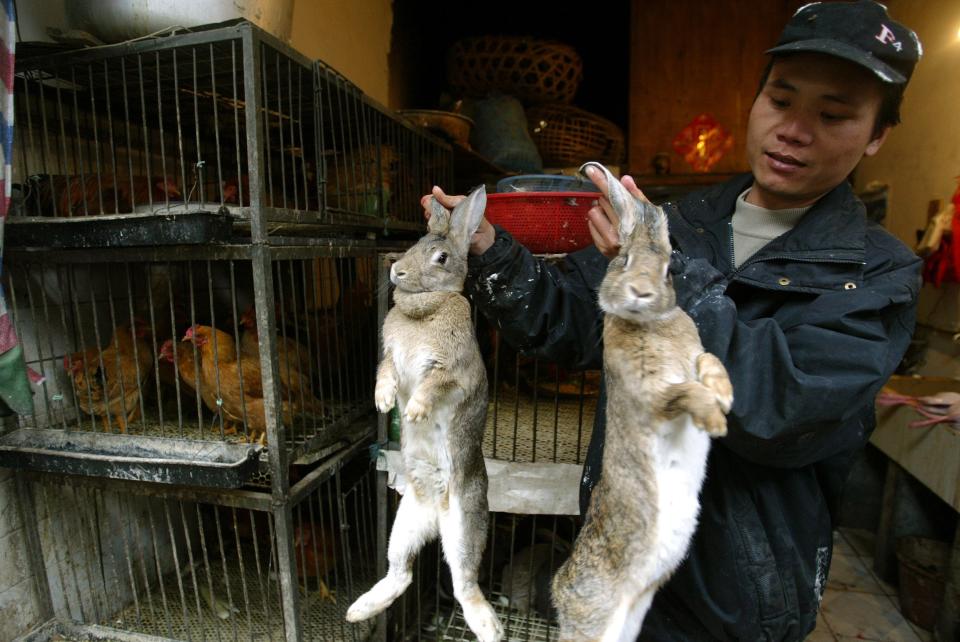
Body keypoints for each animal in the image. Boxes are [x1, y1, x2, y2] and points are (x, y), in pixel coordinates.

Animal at [344, 185, 502, 640]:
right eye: (414, 244)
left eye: (442, 258)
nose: (396, 272)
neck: (423, 306)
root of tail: (434, 513)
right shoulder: (390, 358)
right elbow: (385, 374)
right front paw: (383, 402)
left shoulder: (453, 372)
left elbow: (432, 387)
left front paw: (413, 412)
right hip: (403, 525)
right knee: (402, 573)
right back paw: (358, 610)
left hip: (465, 526)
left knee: (465, 583)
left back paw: (490, 628)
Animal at [552, 162, 732, 636]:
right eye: (623, 261)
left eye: (669, 271)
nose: (641, 292)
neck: (653, 323)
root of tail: (559, 592)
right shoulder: (652, 393)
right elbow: (684, 391)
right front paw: (715, 420)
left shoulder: (697, 356)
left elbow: (710, 362)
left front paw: (725, 398)